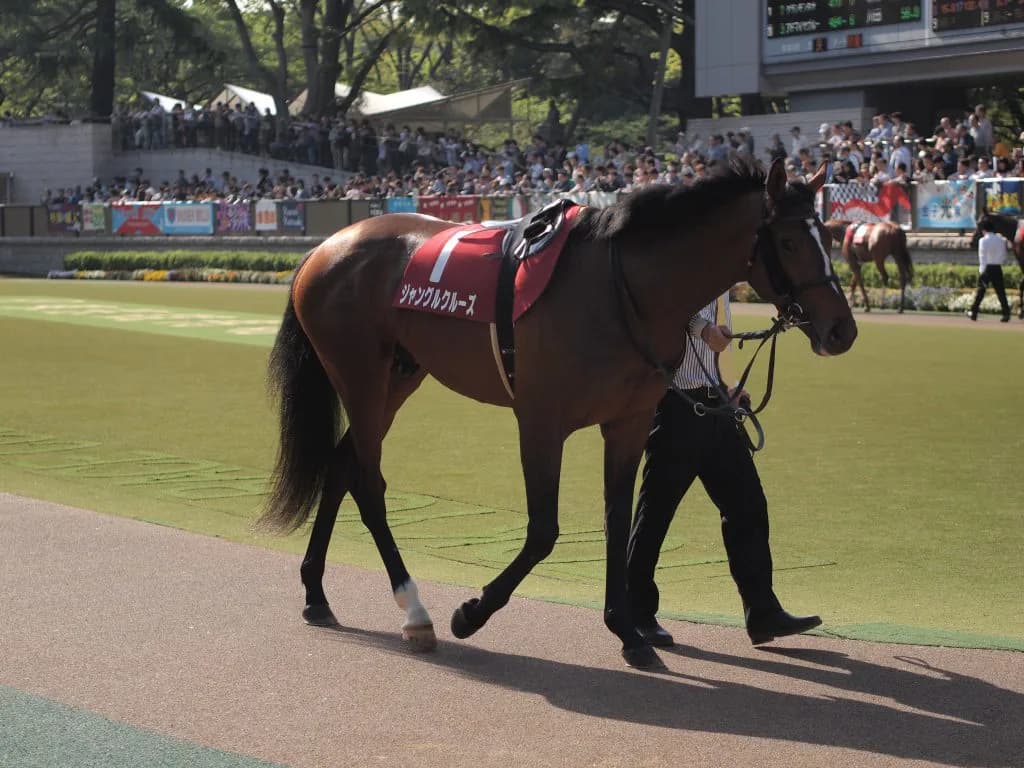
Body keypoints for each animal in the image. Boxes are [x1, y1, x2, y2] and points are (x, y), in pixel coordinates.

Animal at [258, 158, 857, 670]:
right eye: (787, 240)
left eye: (829, 237)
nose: (841, 331)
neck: (620, 289)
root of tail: (324, 248)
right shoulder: (541, 423)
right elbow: (545, 531)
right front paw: (471, 613)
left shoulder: (628, 423)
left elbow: (620, 521)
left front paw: (629, 632)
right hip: (359, 375)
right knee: (368, 480)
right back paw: (416, 611)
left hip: (399, 375)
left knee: (341, 466)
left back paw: (316, 592)